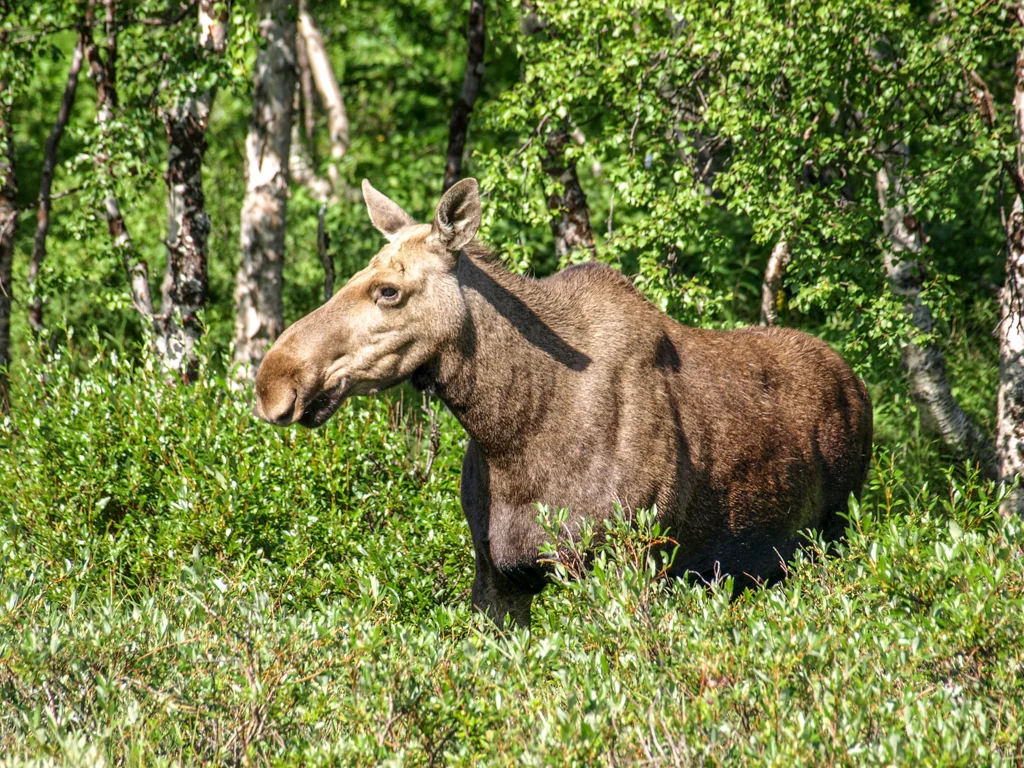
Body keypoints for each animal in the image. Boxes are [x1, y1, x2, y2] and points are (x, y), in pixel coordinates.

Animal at [255, 178, 873, 628]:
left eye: (388, 290)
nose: (273, 380)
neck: (510, 436)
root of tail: (858, 384)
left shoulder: (626, 561)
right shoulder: (497, 575)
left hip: (832, 535)